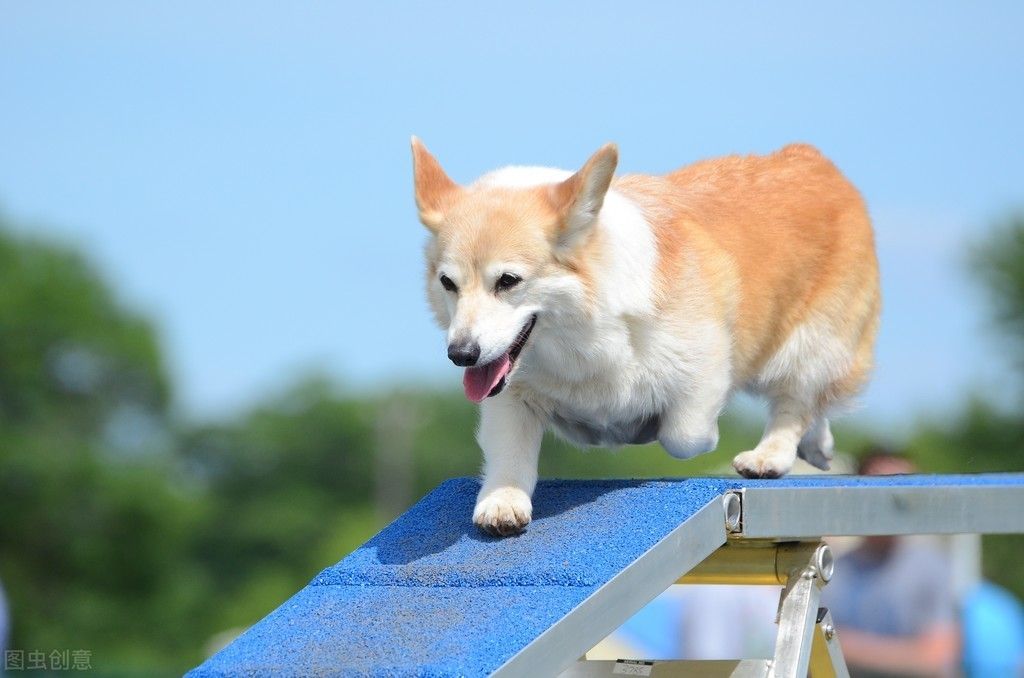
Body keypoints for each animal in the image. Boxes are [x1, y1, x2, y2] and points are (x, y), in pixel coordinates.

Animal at [407, 138, 880, 536]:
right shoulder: (510, 392)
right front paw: (503, 502)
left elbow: (685, 436)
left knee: (796, 399)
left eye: (508, 281)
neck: (579, 337)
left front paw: (640, 428)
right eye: (448, 283)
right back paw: (818, 447)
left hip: (809, 343)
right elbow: (509, 451)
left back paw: (771, 456)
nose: (461, 354)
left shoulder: (704, 368)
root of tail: (816, 162)